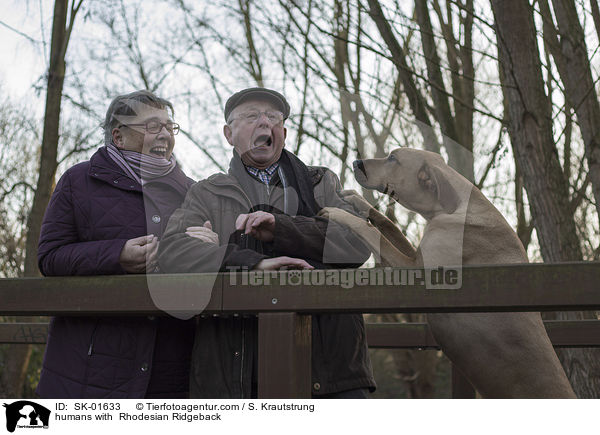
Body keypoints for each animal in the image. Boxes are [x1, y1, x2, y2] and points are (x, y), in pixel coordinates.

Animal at [318, 149, 576, 398]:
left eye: (393, 158)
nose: (356, 162)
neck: (452, 206)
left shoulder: (415, 270)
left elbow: (372, 231)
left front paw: (339, 214)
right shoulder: (416, 253)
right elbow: (388, 224)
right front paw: (356, 199)